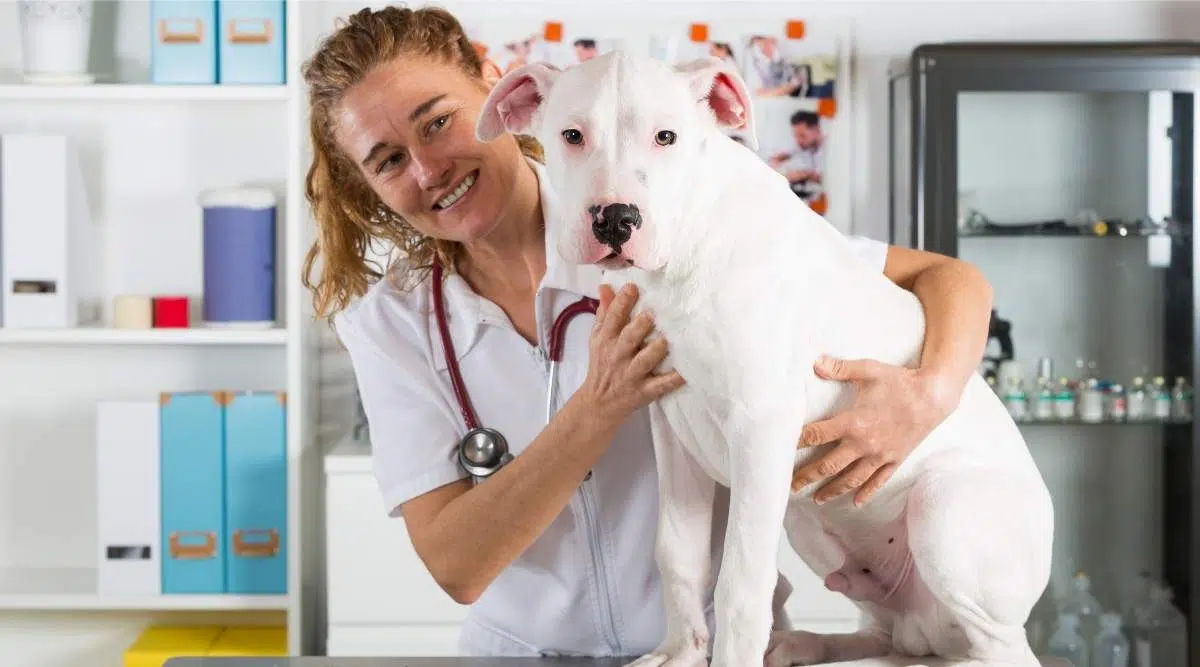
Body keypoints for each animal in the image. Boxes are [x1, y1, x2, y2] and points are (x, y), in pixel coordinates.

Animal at [472, 50, 1056, 667]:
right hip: (811, 520)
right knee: (892, 632)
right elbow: (677, 552)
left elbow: (741, 584)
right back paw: (810, 643)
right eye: (572, 136)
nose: (614, 219)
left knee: (1002, 647)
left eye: (666, 137)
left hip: (940, 511)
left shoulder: (761, 428)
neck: (687, 251)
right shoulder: (671, 430)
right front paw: (679, 652)